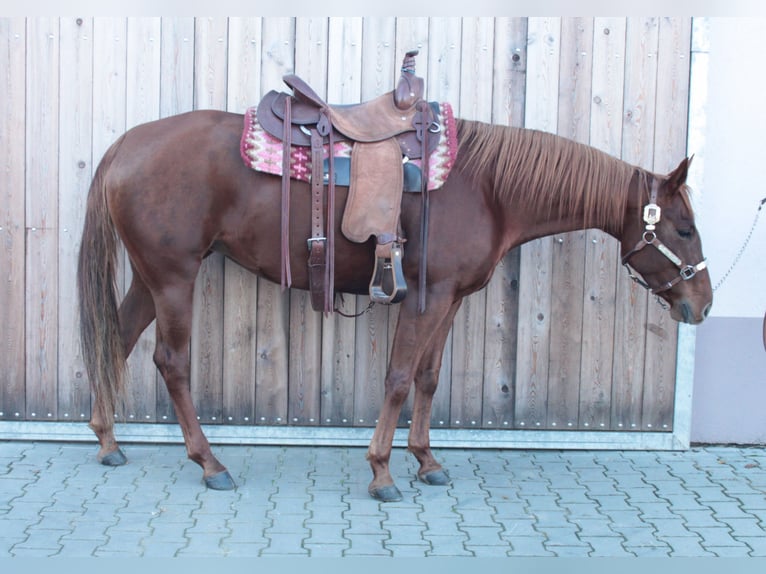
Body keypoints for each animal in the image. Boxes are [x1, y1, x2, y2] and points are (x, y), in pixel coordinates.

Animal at [78, 110, 712, 502]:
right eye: (682, 228)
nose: (702, 304)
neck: (487, 189)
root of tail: (125, 144)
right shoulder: (426, 300)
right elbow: (400, 378)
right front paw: (383, 472)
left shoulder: (448, 299)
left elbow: (427, 379)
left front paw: (427, 461)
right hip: (174, 277)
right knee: (171, 363)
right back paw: (210, 464)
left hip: (152, 279)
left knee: (119, 340)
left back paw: (108, 442)